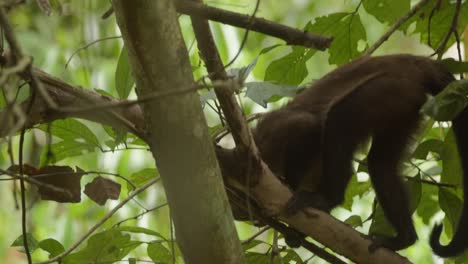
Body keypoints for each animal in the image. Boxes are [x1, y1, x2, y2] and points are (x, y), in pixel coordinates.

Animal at [218, 54, 468, 256]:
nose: (256, 221)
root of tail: (415, 61)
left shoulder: (272, 136)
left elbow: (308, 126)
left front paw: (293, 187)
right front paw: (297, 233)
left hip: (393, 86)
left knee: (339, 119)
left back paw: (328, 198)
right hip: (406, 105)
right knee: (380, 164)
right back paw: (404, 238)